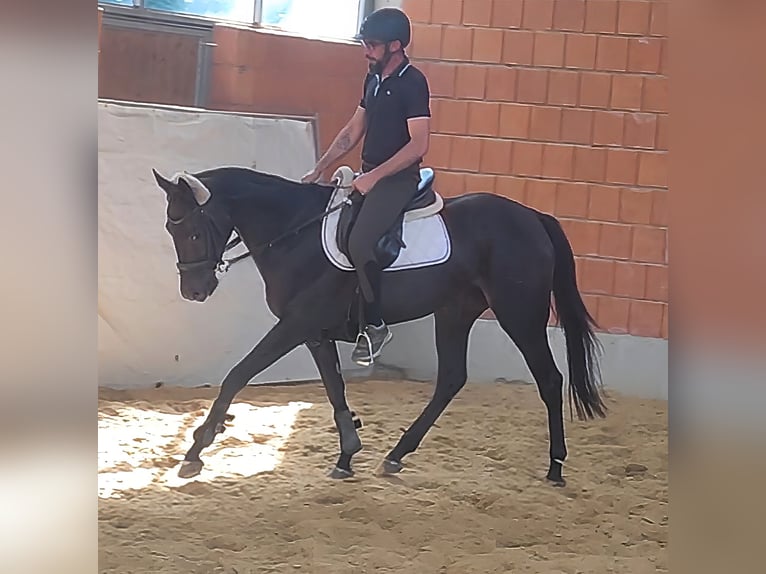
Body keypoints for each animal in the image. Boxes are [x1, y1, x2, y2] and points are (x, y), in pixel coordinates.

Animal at [151, 163, 606, 487]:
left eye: (193, 232)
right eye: (171, 229)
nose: (194, 290)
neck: (293, 232)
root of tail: (532, 216)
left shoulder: (295, 325)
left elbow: (237, 375)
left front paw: (195, 450)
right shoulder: (313, 333)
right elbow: (334, 389)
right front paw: (347, 454)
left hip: (519, 313)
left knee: (549, 379)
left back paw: (556, 466)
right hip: (454, 312)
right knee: (451, 379)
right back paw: (396, 455)